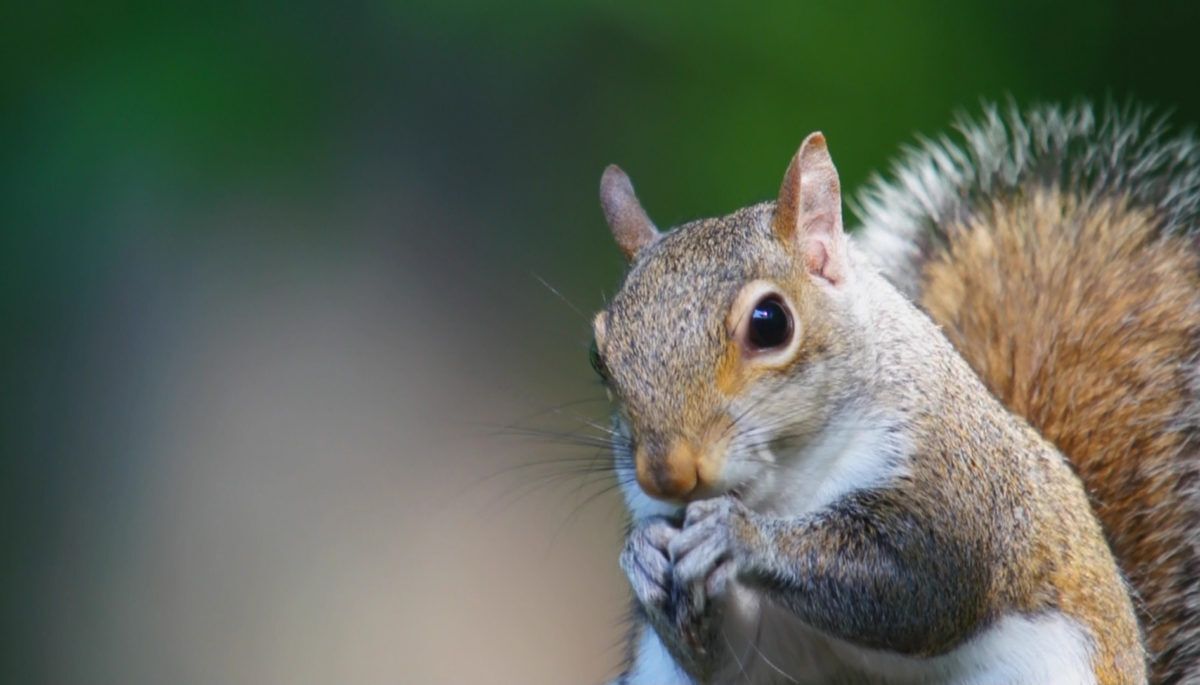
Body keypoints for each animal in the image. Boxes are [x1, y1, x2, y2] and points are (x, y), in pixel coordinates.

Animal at [589, 103, 1200, 685]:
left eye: (770, 322)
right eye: (598, 356)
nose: (666, 475)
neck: (782, 488)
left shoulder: (954, 486)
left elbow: (918, 587)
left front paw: (739, 536)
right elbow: (726, 660)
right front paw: (642, 557)